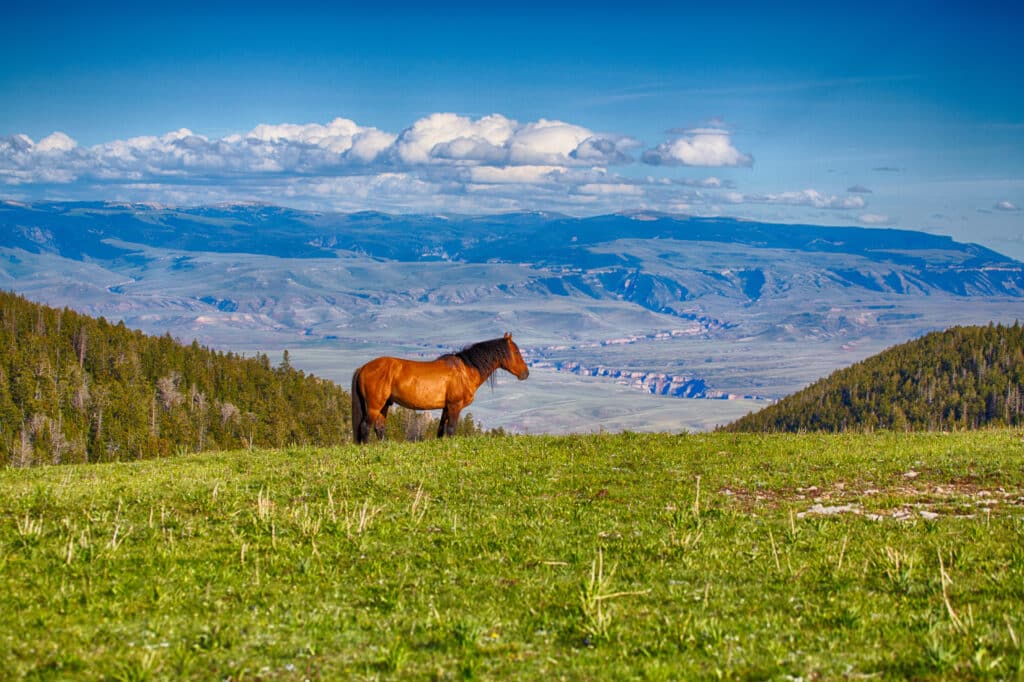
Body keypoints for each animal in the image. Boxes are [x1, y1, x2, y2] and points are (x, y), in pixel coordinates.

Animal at [351, 333, 530, 443]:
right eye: (515, 352)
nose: (525, 373)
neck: (465, 370)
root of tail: (363, 368)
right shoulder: (455, 406)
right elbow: (451, 430)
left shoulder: (446, 407)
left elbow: (441, 430)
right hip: (374, 406)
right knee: (365, 427)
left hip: (384, 405)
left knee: (379, 428)